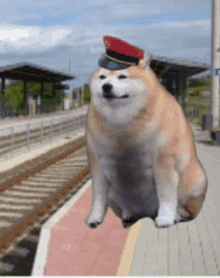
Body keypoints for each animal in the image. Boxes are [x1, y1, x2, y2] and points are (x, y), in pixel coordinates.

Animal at [85, 35, 207, 229]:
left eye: (122, 76)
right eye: (102, 76)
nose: (106, 86)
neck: (122, 121)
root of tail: (145, 213)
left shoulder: (164, 160)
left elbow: (166, 193)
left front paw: (165, 218)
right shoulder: (97, 161)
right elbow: (98, 194)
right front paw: (95, 217)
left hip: (197, 180)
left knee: (185, 208)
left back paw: (176, 215)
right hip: (115, 194)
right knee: (121, 204)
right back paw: (128, 214)